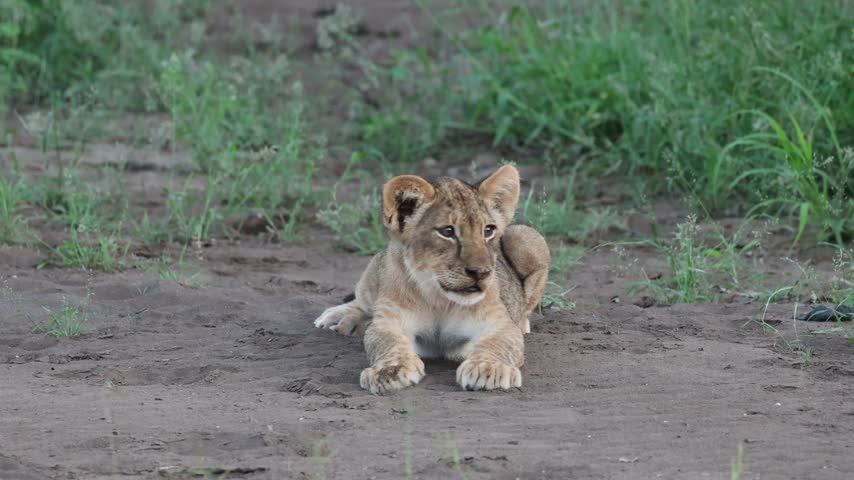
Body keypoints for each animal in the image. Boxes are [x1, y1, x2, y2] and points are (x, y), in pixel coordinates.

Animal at [313, 164, 550, 394]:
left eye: (488, 230)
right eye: (447, 231)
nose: (481, 272)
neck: (439, 299)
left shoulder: (499, 323)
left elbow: (498, 344)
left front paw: (489, 369)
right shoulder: (390, 321)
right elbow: (387, 342)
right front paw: (390, 371)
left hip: (525, 236)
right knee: (362, 301)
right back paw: (339, 318)